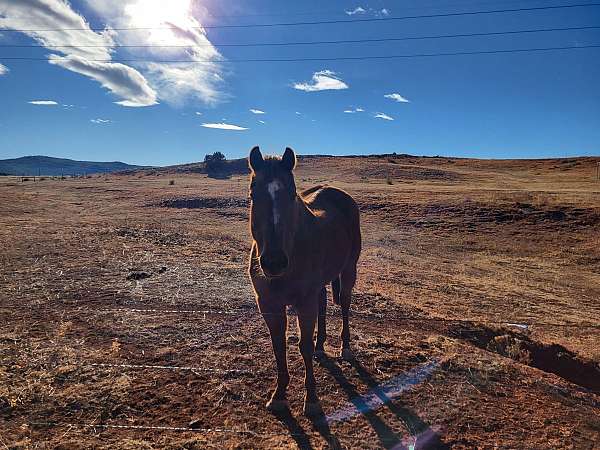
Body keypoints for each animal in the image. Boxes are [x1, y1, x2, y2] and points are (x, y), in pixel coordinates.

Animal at [247, 147, 360, 414]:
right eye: (253, 192)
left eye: (291, 192)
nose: (274, 261)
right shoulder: (268, 305)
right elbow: (279, 346)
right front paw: (279, 394)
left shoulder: (303, 303)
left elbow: (303, 346)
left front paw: (312, 399)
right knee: (323, 302)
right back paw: (321, 346)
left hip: (349, 269)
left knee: (345, 305)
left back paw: (345, 347)